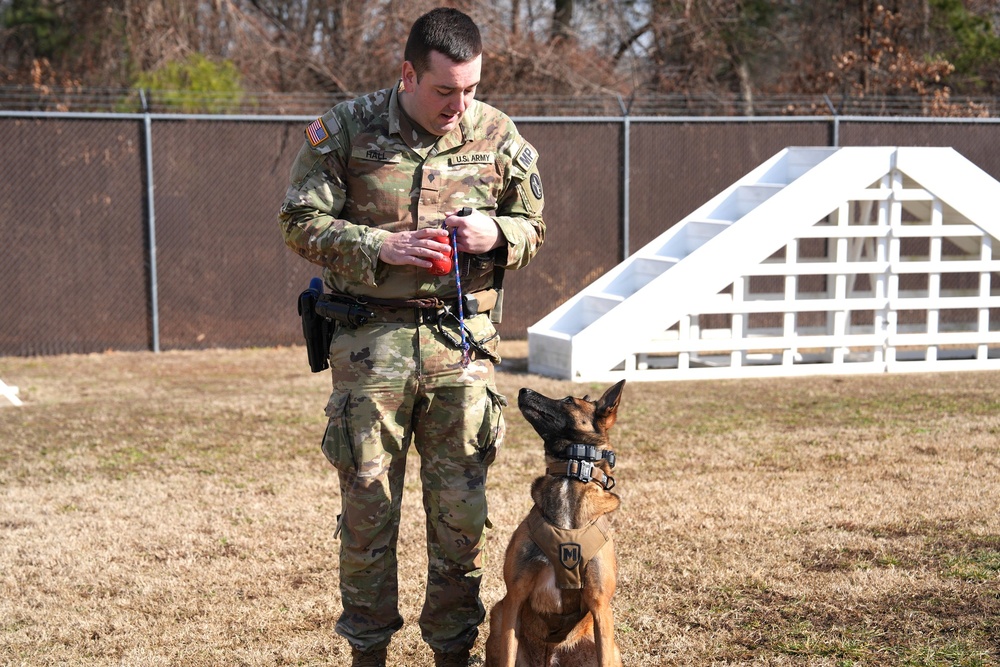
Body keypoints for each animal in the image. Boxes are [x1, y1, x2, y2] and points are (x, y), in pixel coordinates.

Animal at [486, 380, 624, 667]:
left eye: (569, 400)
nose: (524, 390)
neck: (571, 474)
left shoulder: (600, 606)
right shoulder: (514, 598)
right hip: (498, 615)